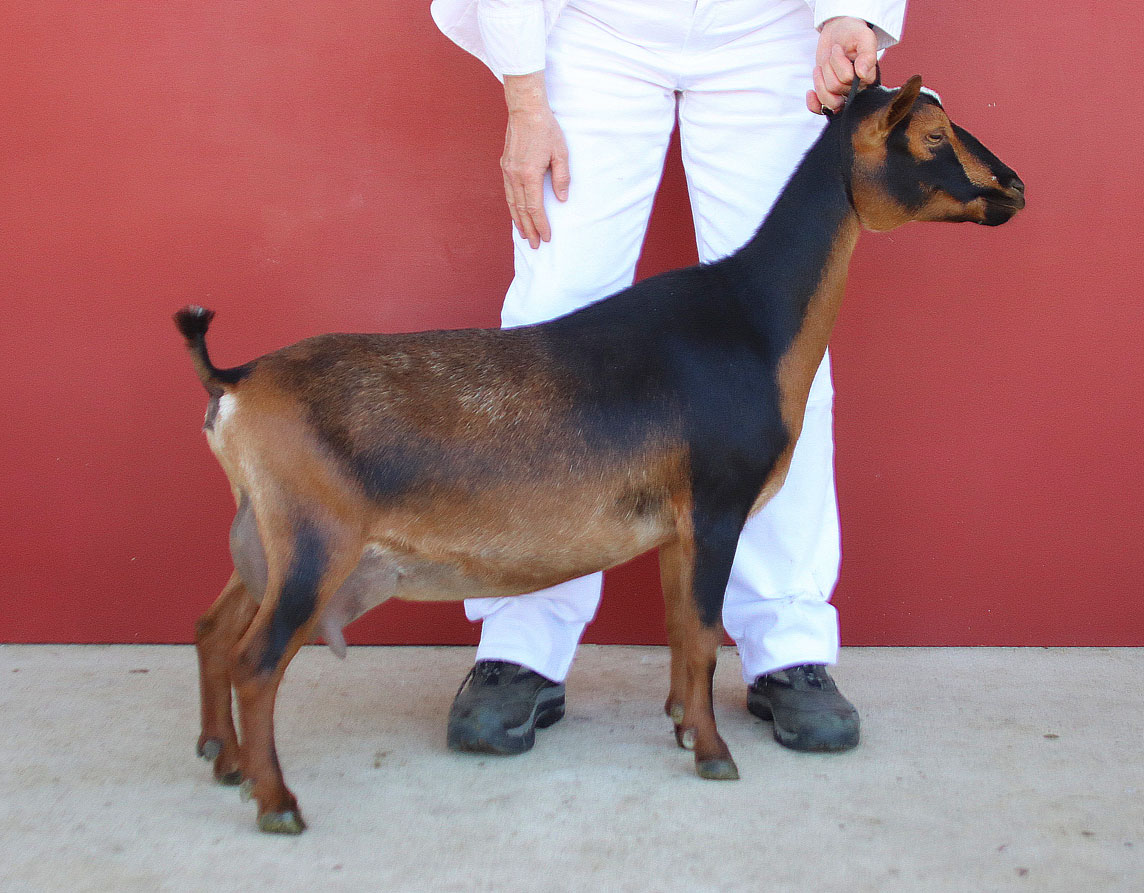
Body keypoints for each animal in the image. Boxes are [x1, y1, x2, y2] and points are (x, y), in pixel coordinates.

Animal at [178, 74, 1029, 827]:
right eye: (931, 137)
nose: (1014, 186)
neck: (750, 318)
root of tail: (237, 379)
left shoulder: (679, 525)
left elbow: (683, 631)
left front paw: (684, 726)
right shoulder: (718, 504)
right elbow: (703, 633)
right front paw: (714, 753)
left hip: (265, 535)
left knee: (214, 630)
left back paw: (224, 761)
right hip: (316, 543)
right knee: (257, 660)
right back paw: (277, 801)